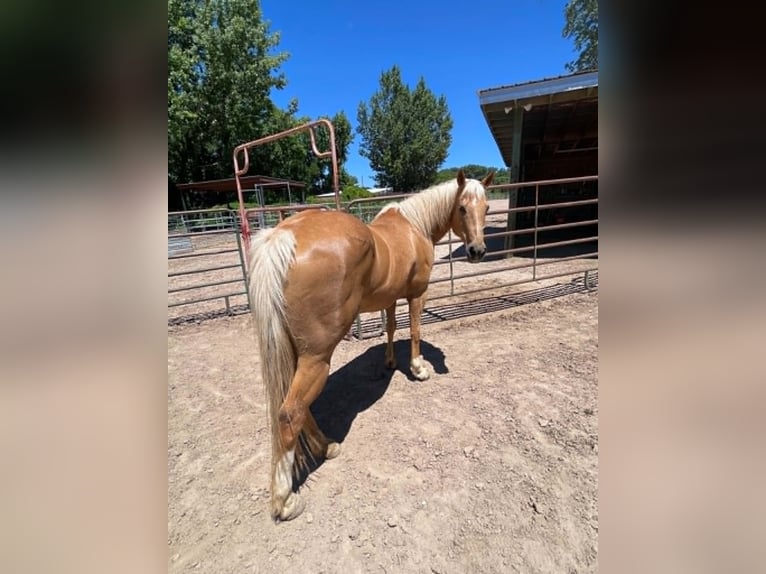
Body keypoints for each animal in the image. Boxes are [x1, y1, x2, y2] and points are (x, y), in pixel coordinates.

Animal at [248, 169, 494, 521]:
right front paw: (419, 369)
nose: (477, 251)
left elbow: (390, 328)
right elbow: (415, 330)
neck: (414, 226)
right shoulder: (417, 294)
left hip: (296, 354)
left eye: (487, 208)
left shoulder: (390, 298)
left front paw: (390, 363)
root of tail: (283, 235)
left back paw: (326, 447)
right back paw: (285, 500)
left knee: (298, 407)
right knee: (289, 414)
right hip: (317, 358)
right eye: (462, 208)